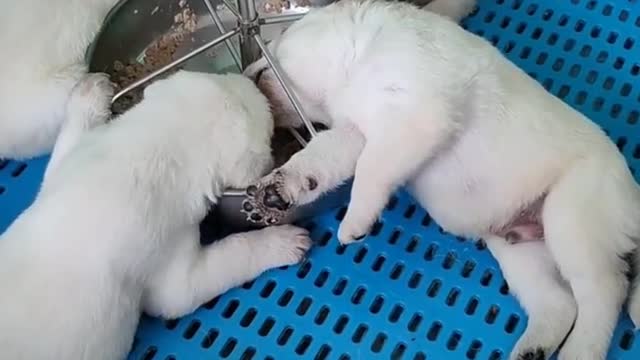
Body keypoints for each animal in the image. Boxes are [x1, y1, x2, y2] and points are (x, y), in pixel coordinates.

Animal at [0, 71, 312, 358]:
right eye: (262, 110)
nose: (250, 80)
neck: (145, 151)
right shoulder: (172, 274)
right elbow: (227, 258)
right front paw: (281, 242)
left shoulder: (69, 165)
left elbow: (68, 143)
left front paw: (88, 92)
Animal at [240, 0, 640, 360]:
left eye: (275, 47)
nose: (246, 75)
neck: (359, 52)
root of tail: (633, 196)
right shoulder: (357, 132)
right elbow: (319, 160)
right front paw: (276, 191)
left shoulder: (417, 116)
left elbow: (371, 171)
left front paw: (355, 221)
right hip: (520, 250)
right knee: (559, 304)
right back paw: (533, 348)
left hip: (571, 221)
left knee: (604, 294)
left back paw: (581, 351)